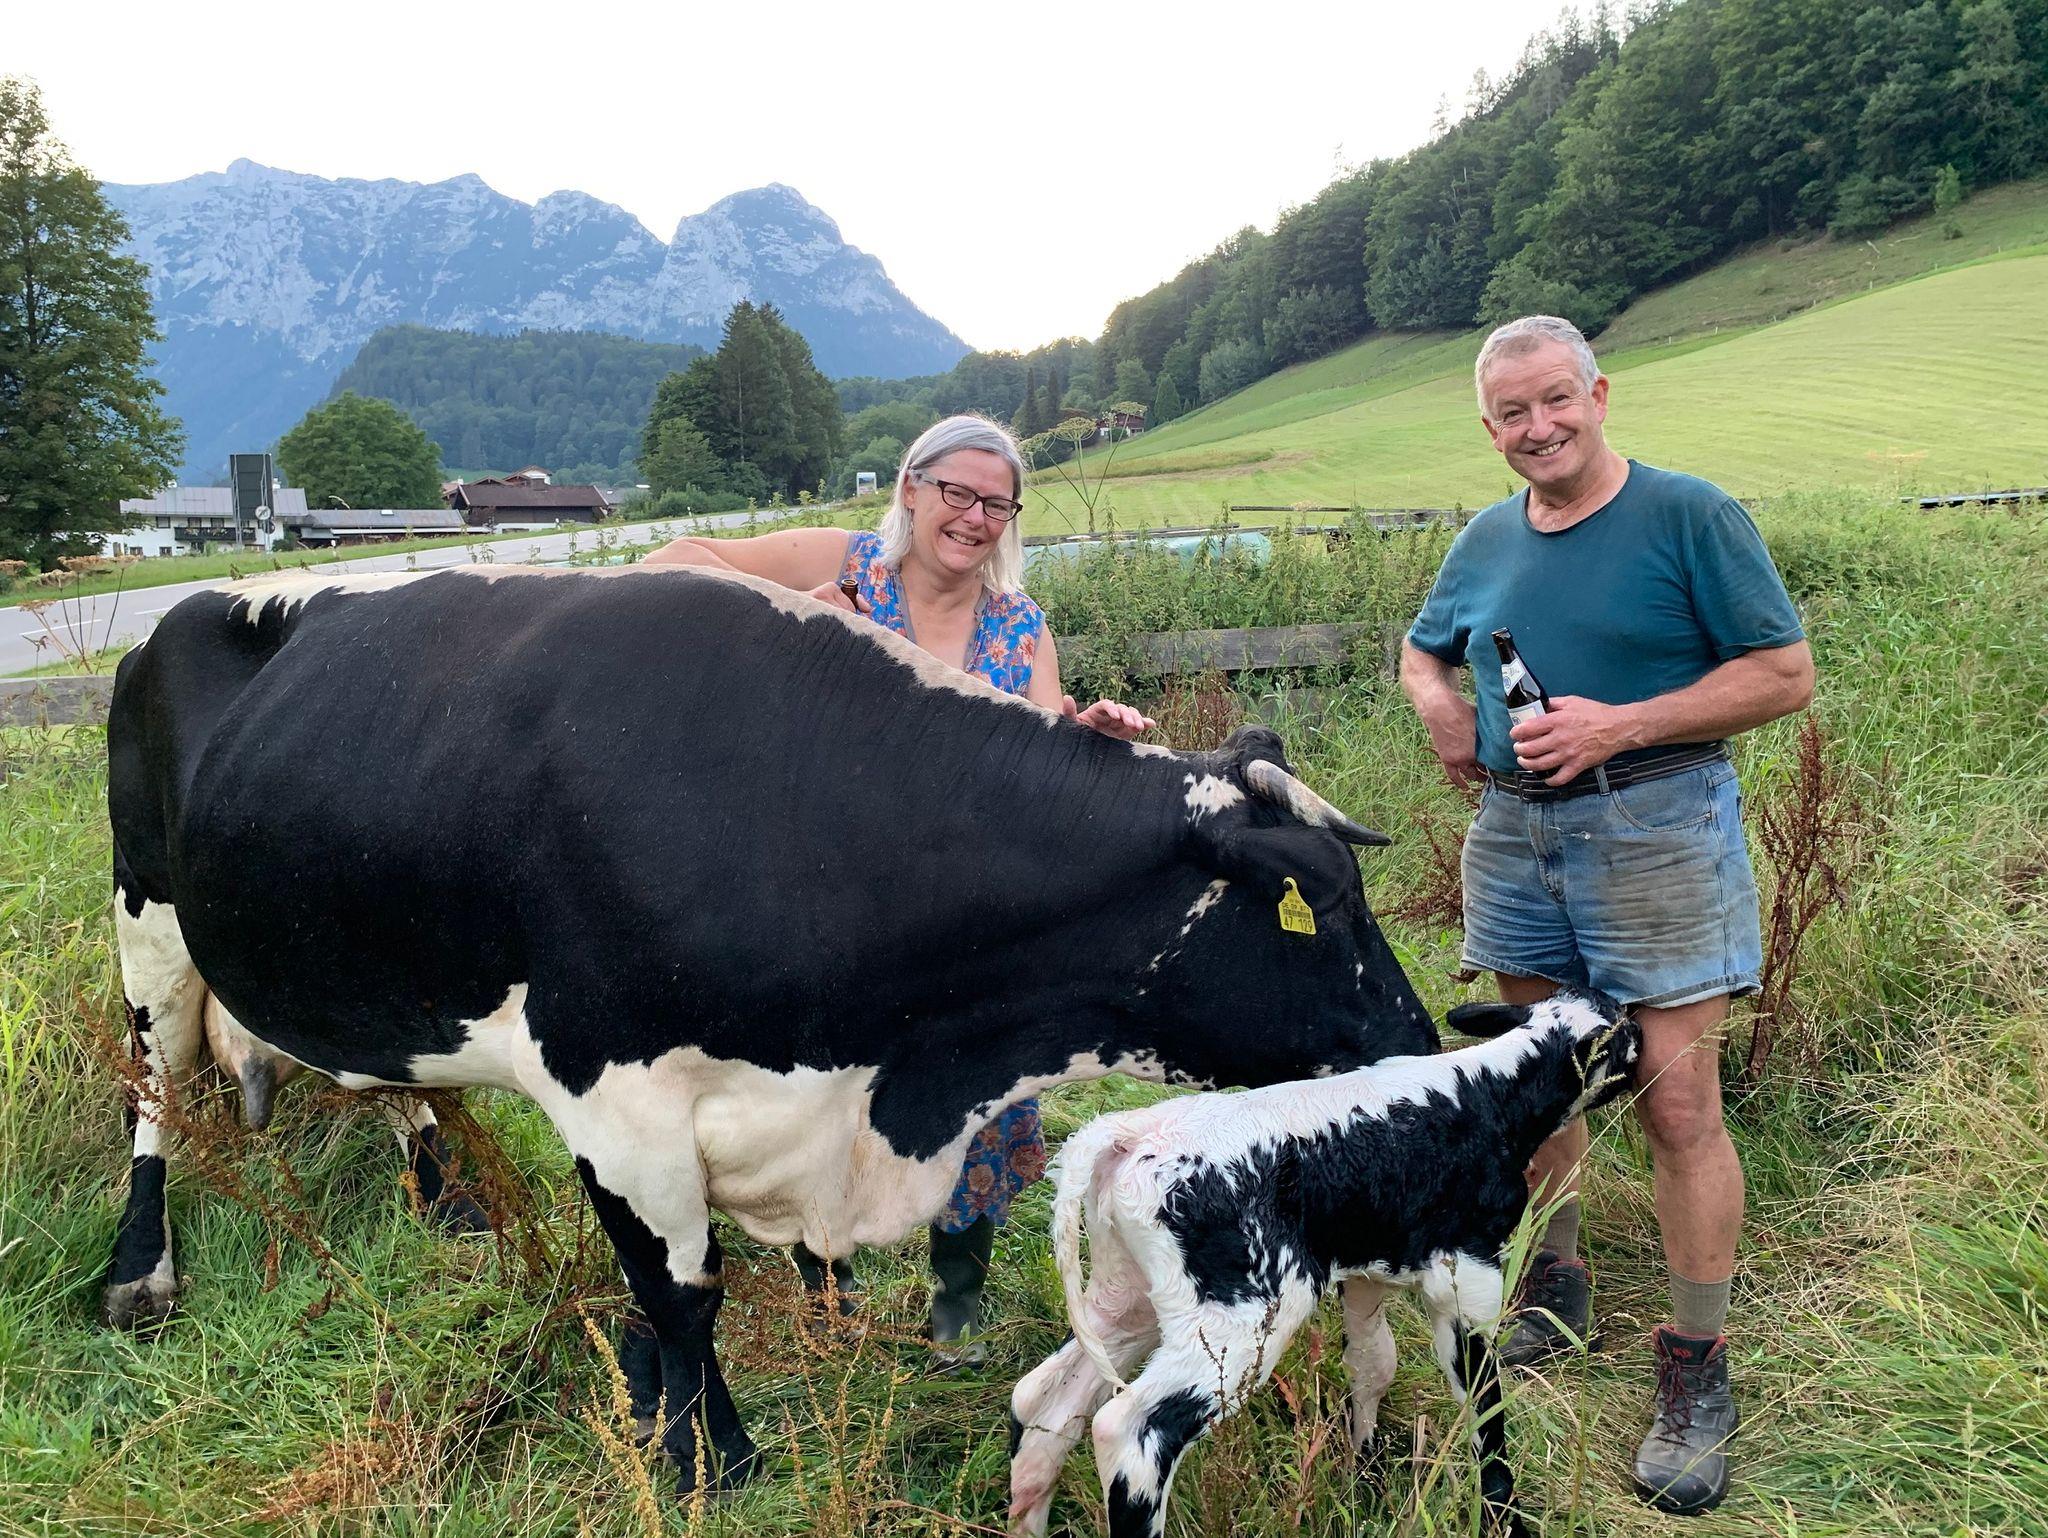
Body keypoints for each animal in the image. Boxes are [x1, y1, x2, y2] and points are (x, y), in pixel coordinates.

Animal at [102, 563, 1439, 1495]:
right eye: (1318, 904)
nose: (1419, 1047)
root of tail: (174, 617)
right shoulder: (613, 1094)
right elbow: (679, 1292)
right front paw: (712, 1455)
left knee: (392, 1080)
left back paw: (445, 1195)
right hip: (146, 916)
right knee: (152, 1091)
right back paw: (137, 1266)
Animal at [1008, 991, 1640, 1538]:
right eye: (1628, 1037)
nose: (1643, 1050)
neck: (1492, 1094)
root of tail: (1131, 1132)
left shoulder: (1365, 1271)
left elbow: (1372, 1364)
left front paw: (1365, 1473)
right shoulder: (1468, 1274)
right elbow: (1485, 1408)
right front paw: (1502, 1519)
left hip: (1134, 1295)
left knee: (1043, 1401)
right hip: (1244, 1318)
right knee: (1130, 1431)